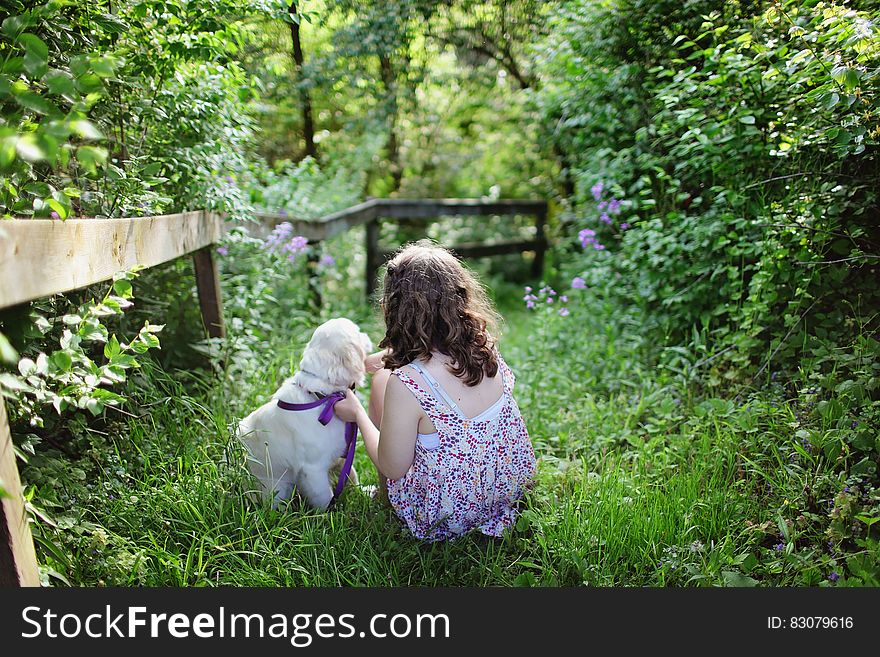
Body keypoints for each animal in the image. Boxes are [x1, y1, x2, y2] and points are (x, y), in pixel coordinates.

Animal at [237, 316, 372, 508]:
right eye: (358, 331)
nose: (367, 335)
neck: (322, 396)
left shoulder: (342, 454)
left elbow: (351, 475)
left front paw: (364, 492)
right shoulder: (313, 470)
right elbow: (325, 497)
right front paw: (331, 513)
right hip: (277, 489)